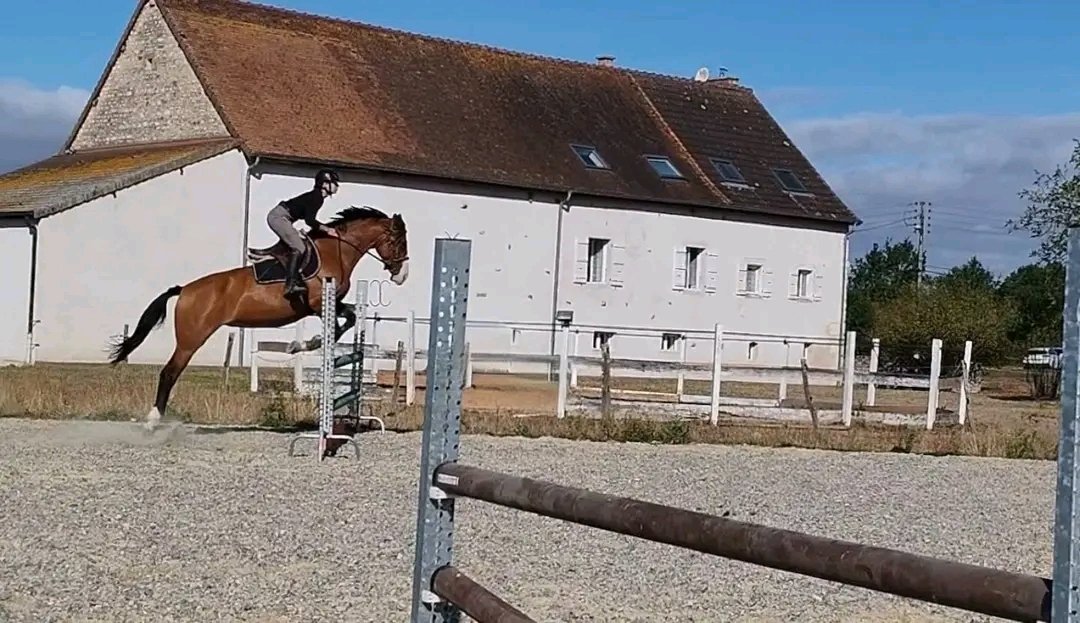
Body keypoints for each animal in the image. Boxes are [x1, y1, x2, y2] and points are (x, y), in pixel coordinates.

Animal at [106, 206, 410, 432]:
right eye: (398, 241)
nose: (402, 276)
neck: (335, 251)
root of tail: (185, 290)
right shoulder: (317, 304)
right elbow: (335, 328)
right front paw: (304, 345)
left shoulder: (331, 304)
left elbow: (349, 317)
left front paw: (304, 344)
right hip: (191, 339)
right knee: (169, 373)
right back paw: (153, 420)